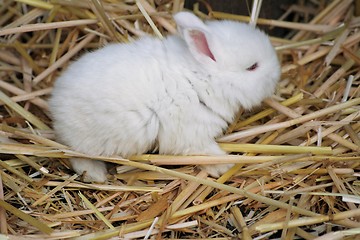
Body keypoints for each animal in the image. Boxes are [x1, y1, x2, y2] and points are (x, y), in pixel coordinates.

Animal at [49, 11, 280, 182]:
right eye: (252, 67)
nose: (277, 72)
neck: (203, 78)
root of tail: (55, 102)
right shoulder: (192, 135)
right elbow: (205, 153)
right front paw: (226, 164)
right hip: (87, 143)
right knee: (78, 158)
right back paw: (97, 175)